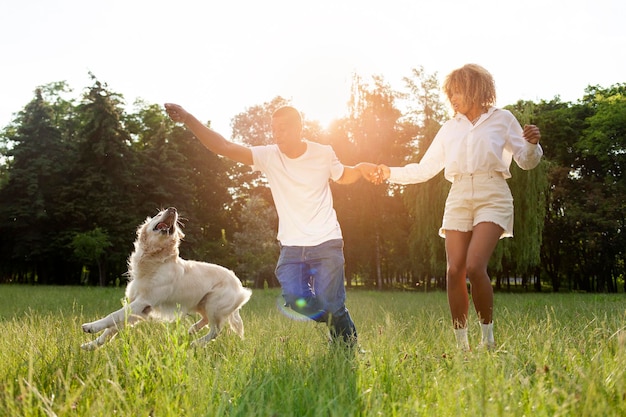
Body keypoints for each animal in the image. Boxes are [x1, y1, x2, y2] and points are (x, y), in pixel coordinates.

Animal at [80, 206, 251, 350]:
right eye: (158, 214)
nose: (173, 209)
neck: (156, 260)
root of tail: (239, 285)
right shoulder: (141, 309)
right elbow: (112, 327)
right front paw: (91, 345)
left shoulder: (143, 302)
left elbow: (113, 315)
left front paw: (91, 327)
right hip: (202, 303)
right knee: (208, 321)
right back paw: (192, 329)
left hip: (214, 304)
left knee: (216, 330)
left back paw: (196, 343)